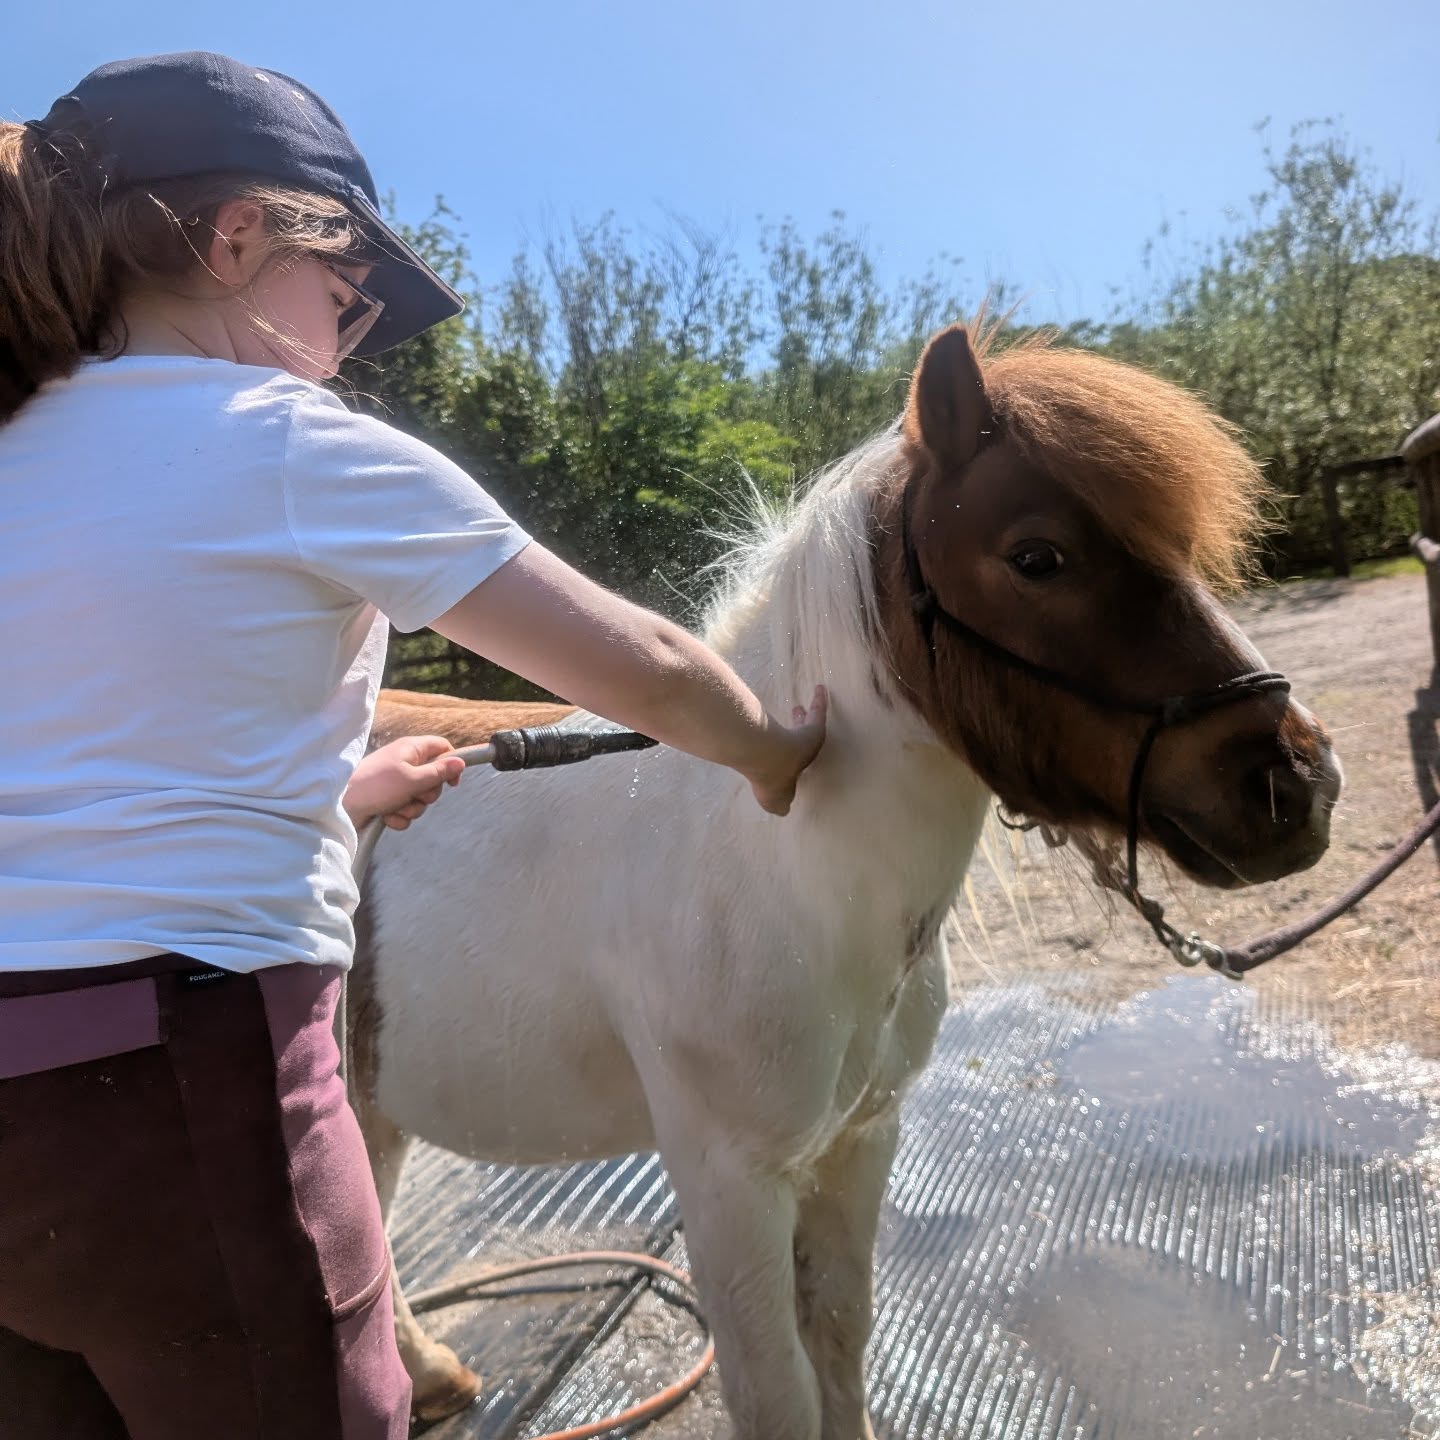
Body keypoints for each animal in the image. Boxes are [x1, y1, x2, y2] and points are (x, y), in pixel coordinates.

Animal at [350, 323, 1343, 1440]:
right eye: (1037, 556)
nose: (1298, 781)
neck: (779, 870)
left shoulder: (858, 1146)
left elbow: (839, 1333)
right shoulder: (728, 1185)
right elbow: (777, 1387)